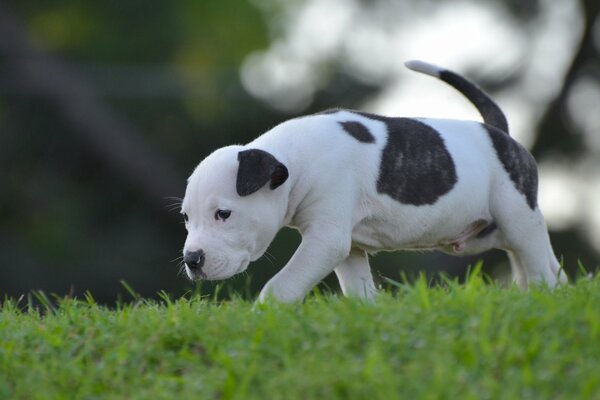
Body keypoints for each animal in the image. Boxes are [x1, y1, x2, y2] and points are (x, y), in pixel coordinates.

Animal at [180, 61, 564, 302]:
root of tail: (499, 131)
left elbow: (281, 285)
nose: (192, 260)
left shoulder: (326, 240)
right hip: (491, 232)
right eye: (185, 218)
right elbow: (359, 291)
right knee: (541, 265)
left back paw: (542, 296)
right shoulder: (348, 248)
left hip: (517, 214)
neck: (294, 159)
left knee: (538, 263)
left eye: (223, 214)